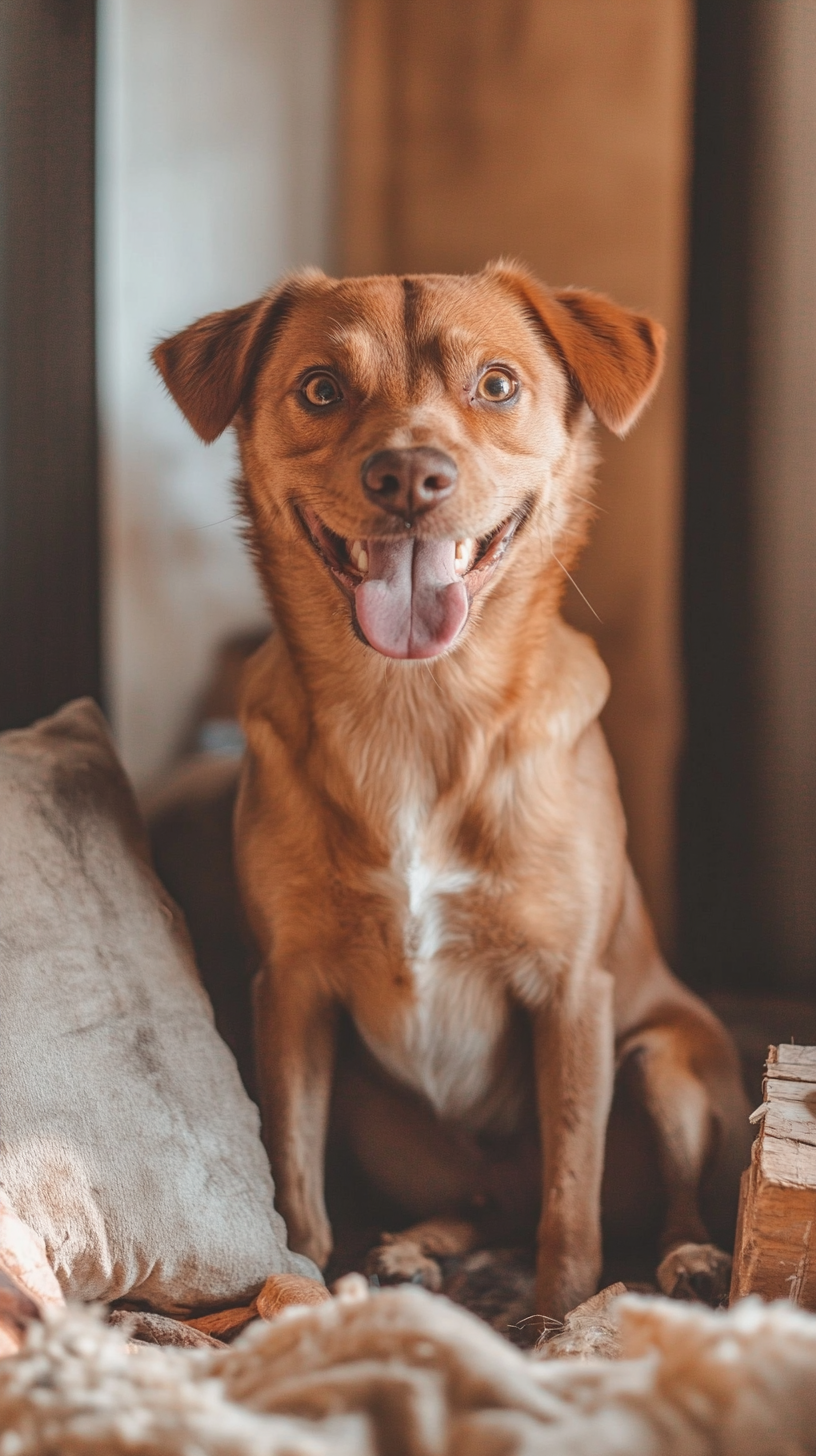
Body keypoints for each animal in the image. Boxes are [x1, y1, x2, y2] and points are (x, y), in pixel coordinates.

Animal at [154, 262, 751, 1322]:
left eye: (498, 385)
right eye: (319, 389)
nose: (407, 476)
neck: (417, 709)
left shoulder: (571, 993)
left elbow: (572, 1198)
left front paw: (558, 1318)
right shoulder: (292, 990)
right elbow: (293, 1171)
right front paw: (302, 1284)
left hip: (662, 1063)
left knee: (632, 1197)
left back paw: (686, 1258)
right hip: (380, 1110)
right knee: (486, 1204)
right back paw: (414, 1247)